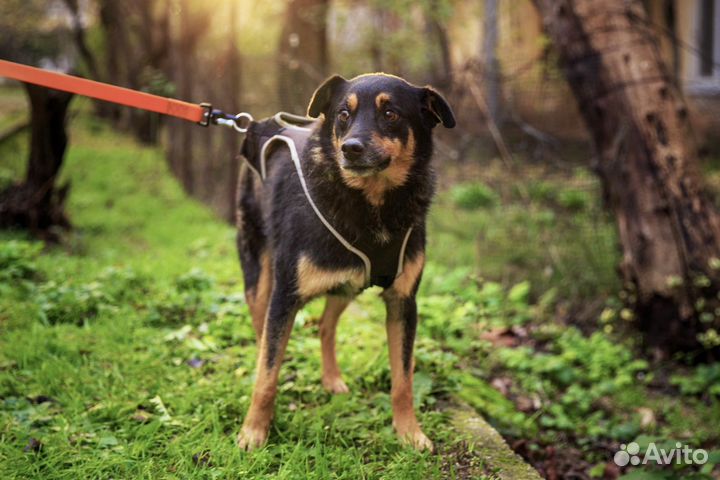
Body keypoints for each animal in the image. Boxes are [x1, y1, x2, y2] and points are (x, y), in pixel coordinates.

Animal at [233, 72, 452, 450]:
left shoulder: (403, 302)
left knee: (325, 325)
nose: (350, 147)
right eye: (343, 115)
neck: (372, 203)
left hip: (348, 284)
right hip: (259, 270)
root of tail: (257, 125)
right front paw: (254, 432)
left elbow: (403, 379)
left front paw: (409, 432)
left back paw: (331, 378)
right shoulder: (284, 296)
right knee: (262, 331)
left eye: (391, 113)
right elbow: (268, 373)